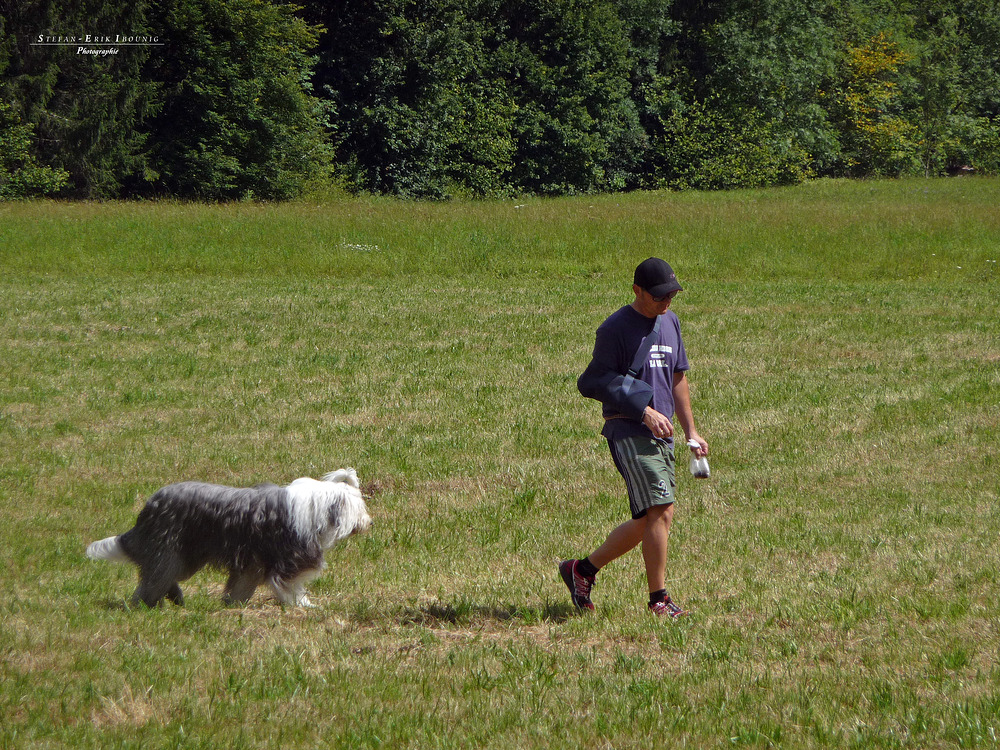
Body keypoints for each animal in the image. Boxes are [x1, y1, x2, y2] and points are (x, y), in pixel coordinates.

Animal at [87, 470, 372, 612]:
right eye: (360, 508)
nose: (370, 523)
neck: (317, 507)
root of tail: (148, 510)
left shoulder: (251, 561)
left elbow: (241, 585)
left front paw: (233, 604)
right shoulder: (287, 559)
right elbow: (289, 585)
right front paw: (304, 605)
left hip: (185, 555)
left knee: (161, 576)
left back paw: (174, 599)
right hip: (170, 549)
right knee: (153, 579)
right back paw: (146, 606)